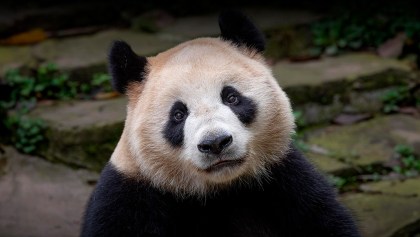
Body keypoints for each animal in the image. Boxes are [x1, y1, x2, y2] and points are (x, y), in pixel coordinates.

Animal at [81, 9, 360, 237]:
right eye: (178, 114)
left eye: (231, 97)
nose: (215, 143)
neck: (218, 190)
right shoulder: (130, 197)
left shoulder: (286, 181)